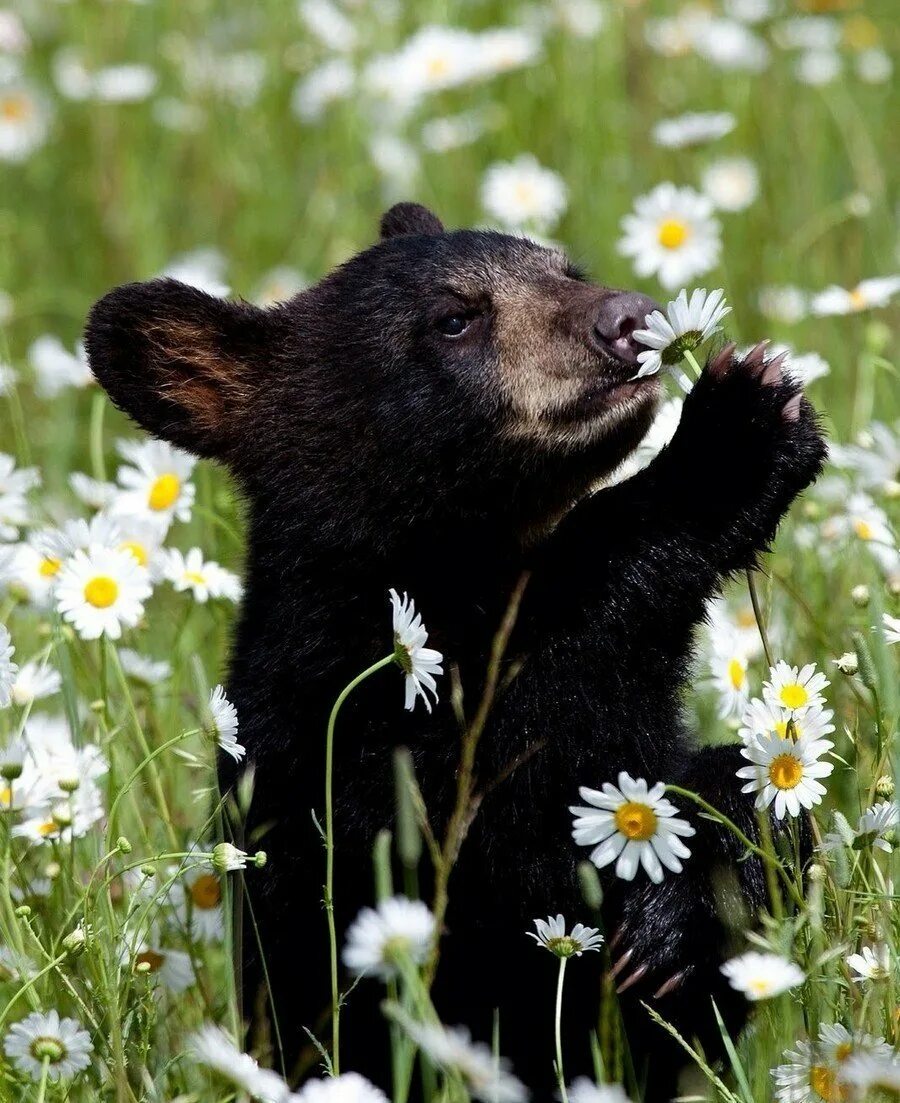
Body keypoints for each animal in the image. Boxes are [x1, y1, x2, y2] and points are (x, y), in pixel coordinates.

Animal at [87, 202, 825, 1098]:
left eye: (567, 270)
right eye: (453, 319)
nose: (629, 317)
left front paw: (685, 902)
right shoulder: (357, 739)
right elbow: (491, 827)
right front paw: (735, 433)